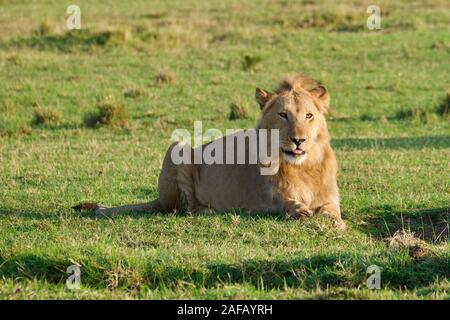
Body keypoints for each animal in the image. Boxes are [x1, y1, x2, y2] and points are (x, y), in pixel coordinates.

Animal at [75, 75, 346, 230]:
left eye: (309, 116)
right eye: (283, 115)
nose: (298, 140)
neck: (303, 168)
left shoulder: (330, 198)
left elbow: (331, 211)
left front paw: (334, 223)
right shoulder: (271, 197)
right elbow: (289, 203)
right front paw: (301, 212)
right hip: (179, 148)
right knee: (185, 208)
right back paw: (210, 210)